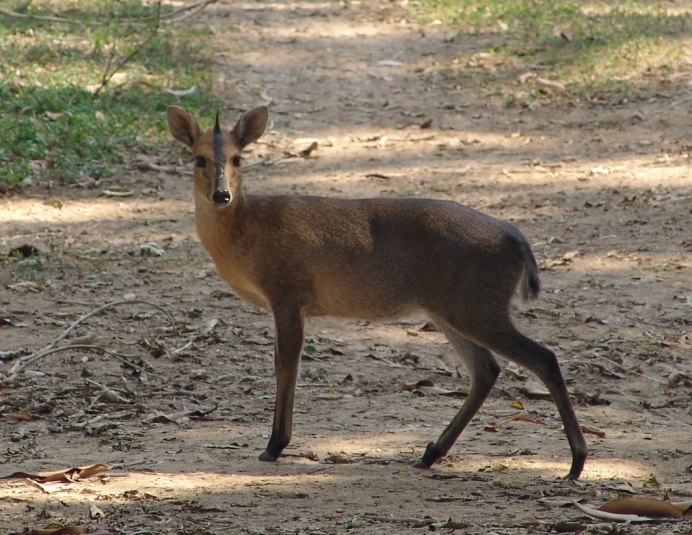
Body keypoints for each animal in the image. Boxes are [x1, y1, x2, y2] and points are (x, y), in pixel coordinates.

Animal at [165, 105, 588, 482]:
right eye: (199, 159)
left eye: (237, 158)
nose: (221, 195)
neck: (246, 232)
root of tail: (517, 240)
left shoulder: (287, 292)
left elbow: (286, 364)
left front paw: (275, 445)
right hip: (451, 308)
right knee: (487, 369)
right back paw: (430, 453)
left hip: (476, 305)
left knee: (542, 357)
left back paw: (575, 463)